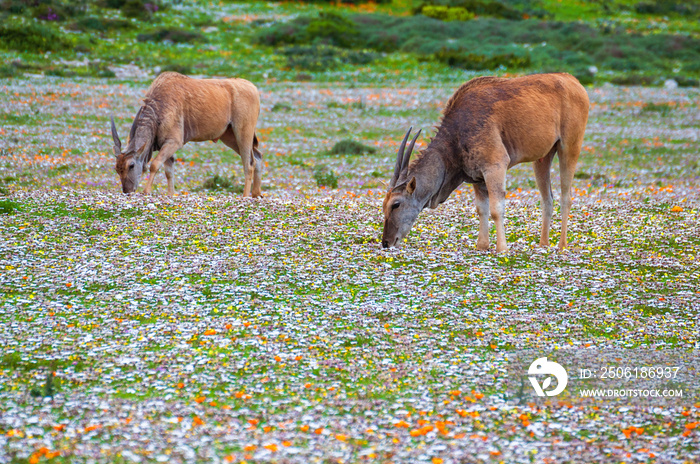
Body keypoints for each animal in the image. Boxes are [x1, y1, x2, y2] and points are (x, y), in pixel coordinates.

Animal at [110, 70, 264, 196]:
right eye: (117, 168)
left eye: (131, 165)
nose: (127, 191)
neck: (158, 108)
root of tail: (253, 88)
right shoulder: (165, 145)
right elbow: (169, 171)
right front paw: (170, 195)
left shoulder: (173, 142)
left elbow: (155, 164)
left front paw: (146, 191)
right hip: (229, 136)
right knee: (257, 156)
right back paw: (256, 194)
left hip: (243, 132)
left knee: (249, 164)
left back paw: (245, 197)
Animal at [382, 73, 592, 254]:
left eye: (396, 204)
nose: (386, 242)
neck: (457, 134)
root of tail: (574, 82)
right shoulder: (477, 177)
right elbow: (481, 209)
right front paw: (482, 246)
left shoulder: (495, 166)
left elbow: (496, 209)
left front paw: (502, 248)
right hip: (543, 157)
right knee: (547, 198)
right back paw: (543, 244)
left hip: (569, 147)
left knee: (566, 197)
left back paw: (562, 245)